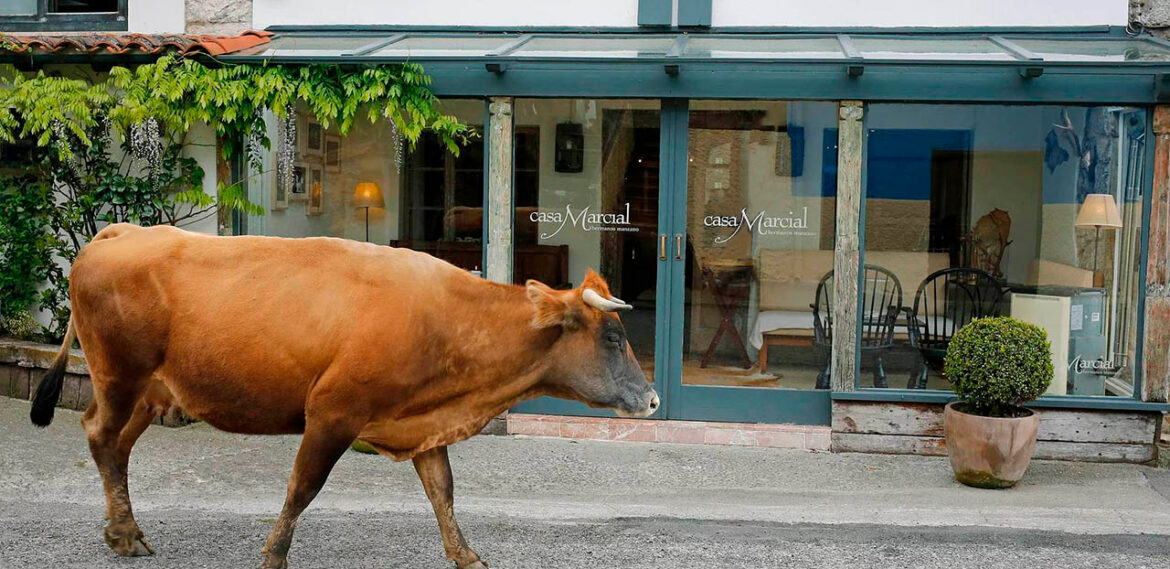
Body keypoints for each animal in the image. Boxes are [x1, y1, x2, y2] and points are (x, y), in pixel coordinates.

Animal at [29, 223, 659, 569]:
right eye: (612, 337)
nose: (653, 400)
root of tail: (125, 230)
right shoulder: (333, 413)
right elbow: (301, 489)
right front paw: (273, 555)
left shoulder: (421, 422)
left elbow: (443, 493)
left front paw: (466, 555)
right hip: (121, 377)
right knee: (101, 436)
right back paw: (124, 534)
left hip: (151, 393)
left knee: (116, 447)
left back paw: (125, 531)